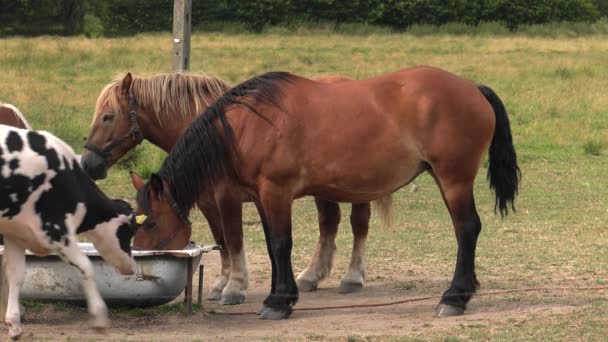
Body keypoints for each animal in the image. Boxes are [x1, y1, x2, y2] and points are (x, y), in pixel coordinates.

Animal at [0, 124, 140, 338]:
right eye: (129, 231)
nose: (131, 267)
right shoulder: (57, 231)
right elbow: (86, 267)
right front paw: (99, 316)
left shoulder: (15, 233)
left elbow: (15, 276)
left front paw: (14, 325)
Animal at [83, 71, 392, 304]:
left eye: (108, 116)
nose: (88, 163)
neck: (218, 134)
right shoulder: (211, 201)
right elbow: (223, 240)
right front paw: (225, 282)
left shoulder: (227, 196)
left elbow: (233, 238)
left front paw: (234, 286)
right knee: (329, 222)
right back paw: (311, 276)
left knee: (358, 223)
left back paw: (352, 277)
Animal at [131, 65, 520, 320]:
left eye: (150, 222)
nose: (136, 259)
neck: (248, 125)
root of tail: (472, 88)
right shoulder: (261, 198)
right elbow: (273, 247)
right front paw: (281, 296)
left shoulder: (276, 192)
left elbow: (280, 245)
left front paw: (278, 302)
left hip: (454, 179)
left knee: (466, 230)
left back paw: (455, 298)